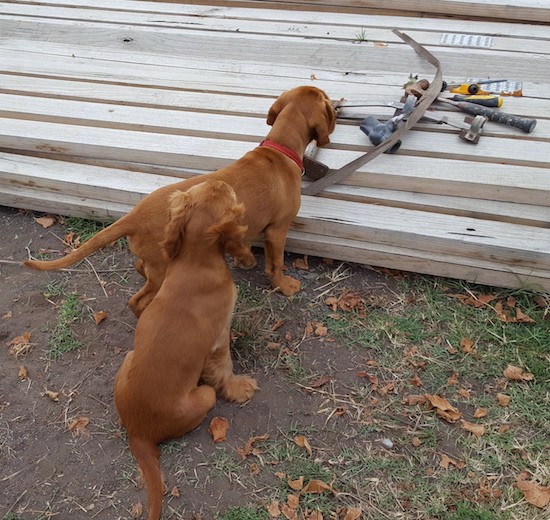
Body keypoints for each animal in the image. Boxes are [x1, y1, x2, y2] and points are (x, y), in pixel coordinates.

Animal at [25, 85, 338, 316]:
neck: (279, 148)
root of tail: (134, 216)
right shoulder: (277, 230)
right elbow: (276, 264)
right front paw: (284, 285)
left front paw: (245, 261)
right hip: (163, 268)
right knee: (137, 301)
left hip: (155, 262)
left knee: (141, 269)